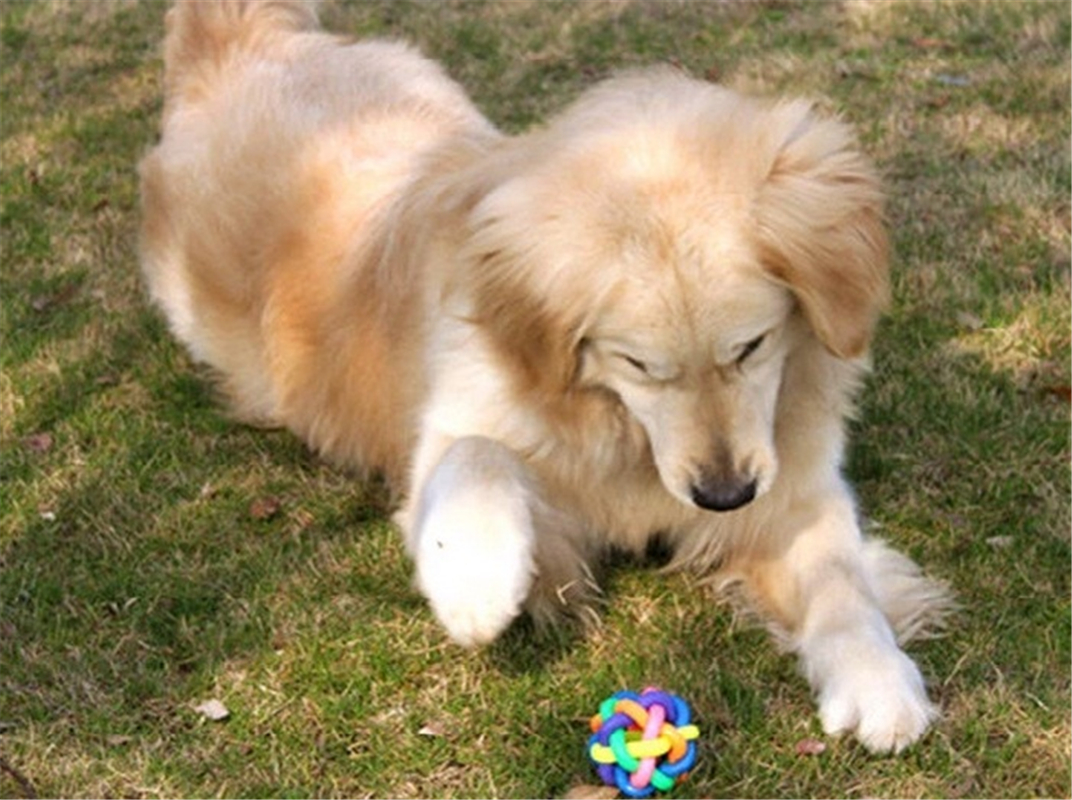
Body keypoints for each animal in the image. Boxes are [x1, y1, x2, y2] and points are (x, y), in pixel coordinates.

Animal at [139, 0, 952, 753]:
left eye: (752, 347)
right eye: (637, 364)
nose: (723, 496)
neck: (618, 425)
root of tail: (241, 44)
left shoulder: (790, 482)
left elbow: (840, 579)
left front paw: (877, 677)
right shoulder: (490, 465)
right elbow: (477, 455)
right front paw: (472, 578)